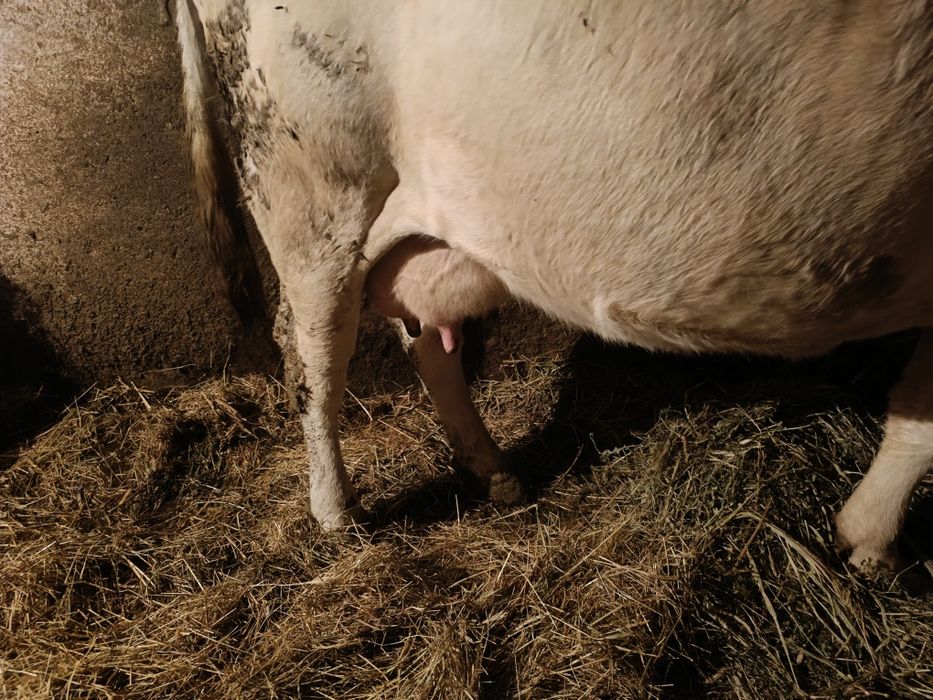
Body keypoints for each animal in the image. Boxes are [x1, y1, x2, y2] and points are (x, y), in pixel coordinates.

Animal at [175, 0, 932, 570]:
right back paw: (339, 515)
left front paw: (868, 539)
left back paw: (495, 472)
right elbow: (922, 421)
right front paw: (869, 541)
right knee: (313, 348)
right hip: (308, 181)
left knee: (425, 340)